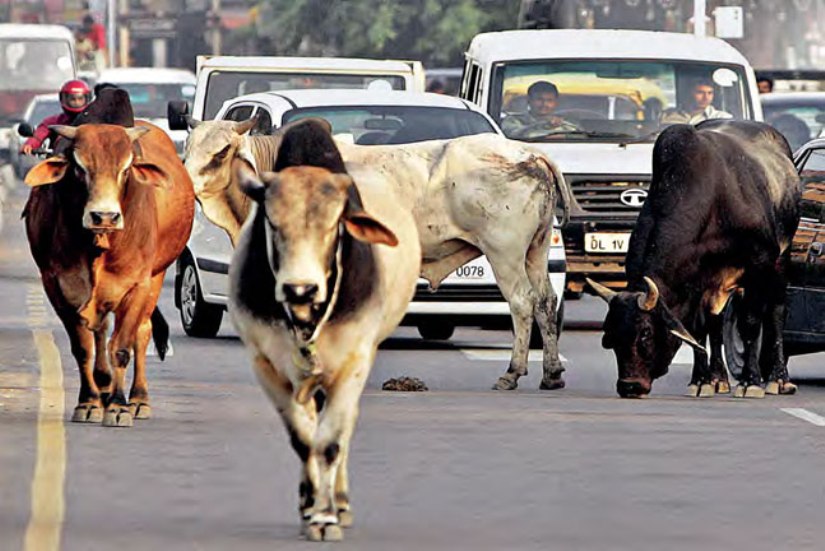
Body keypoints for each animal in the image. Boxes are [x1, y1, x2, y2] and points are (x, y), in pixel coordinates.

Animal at [23, 123, 193, 430]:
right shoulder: (56, 285)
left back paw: (138, 399)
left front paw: (118, 406)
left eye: (125, 169)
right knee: (101, 332)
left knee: (142, 332)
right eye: (79, 167)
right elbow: (83, 347)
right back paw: (102, 387)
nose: (104, 216)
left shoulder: (137, 285)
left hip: (156, 276)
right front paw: (89, 402)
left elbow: (122, 347)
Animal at [588, 119, 800, 396]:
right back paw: (719, 378)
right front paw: (702, 380)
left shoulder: (759, 264)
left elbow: (751, 323)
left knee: (775, 312)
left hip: (781, 260)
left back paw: (779, 379)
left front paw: (751, 382)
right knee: (716, 323)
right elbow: (698, 330)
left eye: (645, 332)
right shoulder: (698, 281)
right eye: (610, 334)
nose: (629, 386)